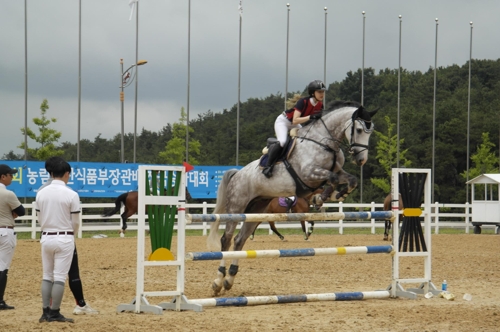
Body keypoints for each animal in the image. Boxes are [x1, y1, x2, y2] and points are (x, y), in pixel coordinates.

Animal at [205, 100, 376, 294]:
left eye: (371, 131)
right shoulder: (309, 173)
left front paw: (337, 194)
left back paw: (229, 279)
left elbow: (350, 180)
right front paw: (323, 197)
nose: (361, 160)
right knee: (226, 239)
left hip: (256, 209)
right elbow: (330, 179)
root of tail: (237, 173)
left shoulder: (336, 171)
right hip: (236, 206)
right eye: (360, 130)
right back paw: (218, 281)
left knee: (240, 239)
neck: (324, 142)